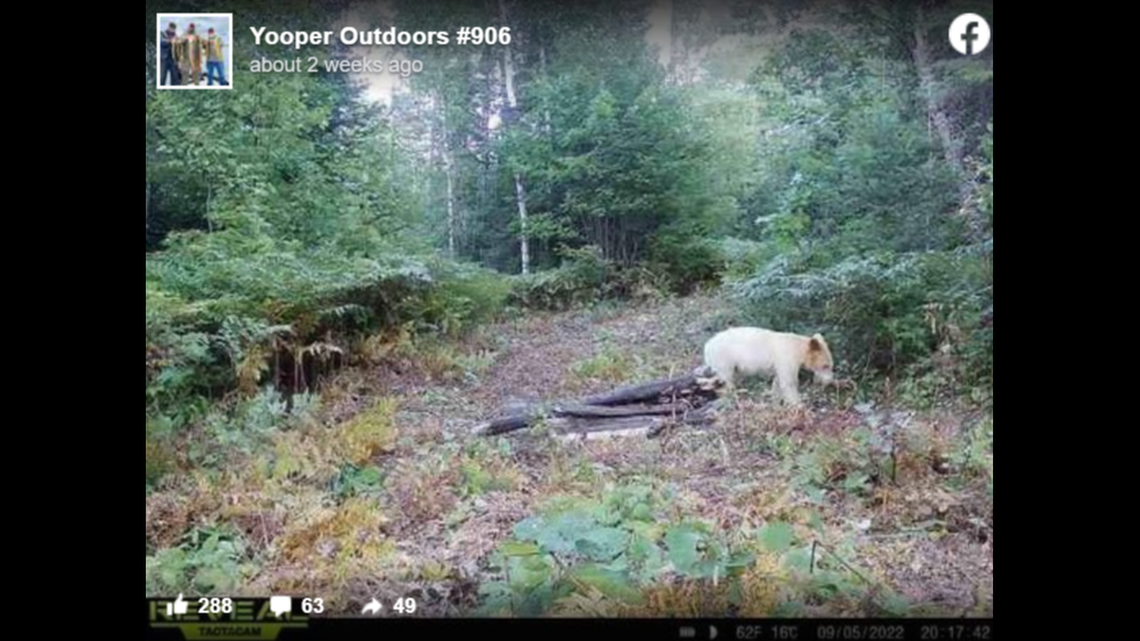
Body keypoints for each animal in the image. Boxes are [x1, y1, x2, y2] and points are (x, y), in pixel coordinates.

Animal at [703, 327, 835, 406]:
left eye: (830, 365)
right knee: (727, 379)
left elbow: (778, 381)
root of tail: (707, 346)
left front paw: (776, 401)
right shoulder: (786, 357)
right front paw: (798, 404)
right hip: (724, 358)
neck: (798, 348)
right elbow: (788, 382)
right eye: (825, 366)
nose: (829, 381)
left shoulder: (780, 364)